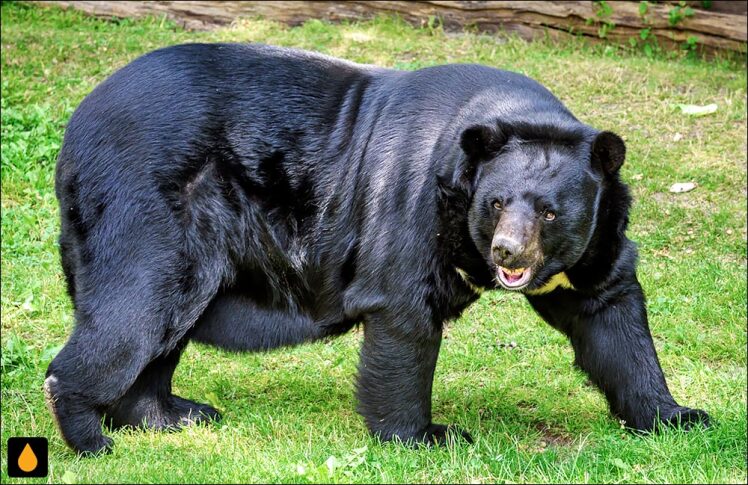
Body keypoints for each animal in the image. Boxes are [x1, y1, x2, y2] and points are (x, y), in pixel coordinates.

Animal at [43, 42, 712, 454]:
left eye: (550, 212)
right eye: (496, 202)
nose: (506, 254)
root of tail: (77, 123)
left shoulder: (596, 241)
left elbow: (610, 312)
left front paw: (680, 416)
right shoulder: (411, 199)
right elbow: (403, 313)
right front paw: (427, 434)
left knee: (163, 327)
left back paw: (171, 413)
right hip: (148, 207)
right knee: (136, 307)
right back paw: (91, 436)